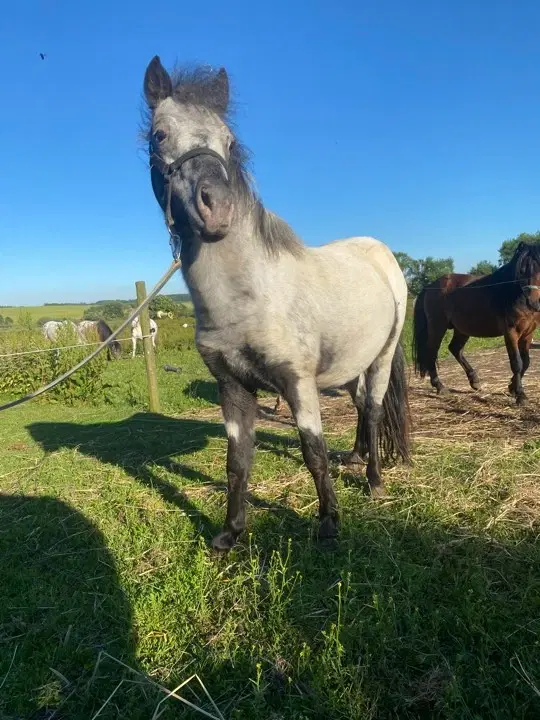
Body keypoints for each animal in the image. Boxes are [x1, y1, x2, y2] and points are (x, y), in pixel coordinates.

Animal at [414, 239, 540, 402]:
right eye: (521, 270)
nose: (533, 302)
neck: (512, 292)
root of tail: (430, 287)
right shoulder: (511, 332)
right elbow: (517, 363)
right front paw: (520, 395)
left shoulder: (528, 333)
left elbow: (526, 362)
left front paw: (512, 387)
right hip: (437, 327)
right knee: (432, 353)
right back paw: (440, 386)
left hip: (461, 329)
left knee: (455, 349)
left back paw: (474, 381)